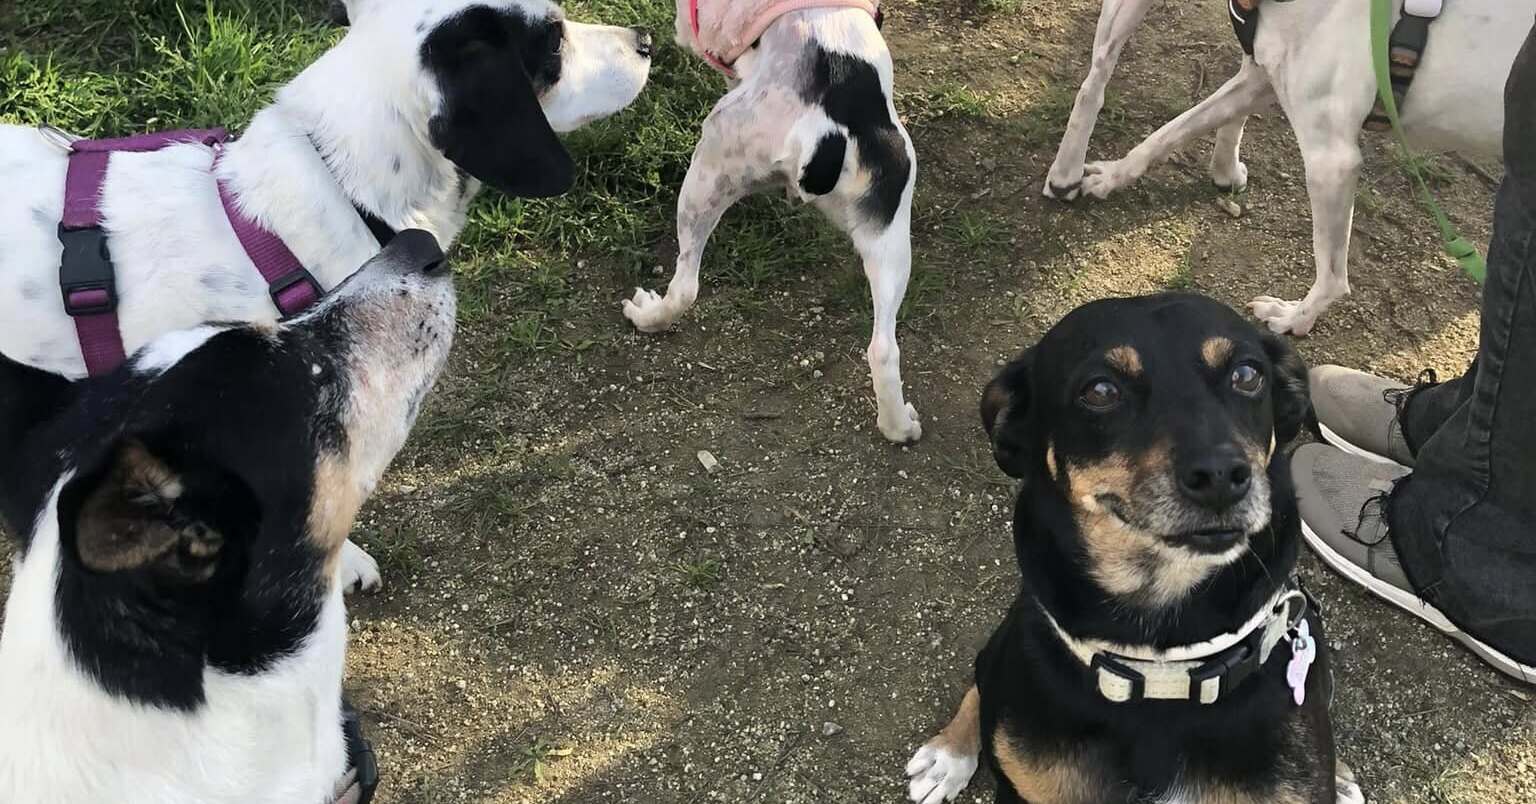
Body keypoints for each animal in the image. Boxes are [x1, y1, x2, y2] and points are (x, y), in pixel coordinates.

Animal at [621, 1, 923, 443]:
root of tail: (826, 130)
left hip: (709, 166)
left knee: (686, 287)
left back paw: (646, 316)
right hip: (891, 234)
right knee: (884, 348)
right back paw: (899, 426)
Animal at [1040, 0, 1530, 336]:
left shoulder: (1332, 161)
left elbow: (1332, 277)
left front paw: (1295, 319)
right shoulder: (1260, 78)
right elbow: (1172, 131)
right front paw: (1112, 175)